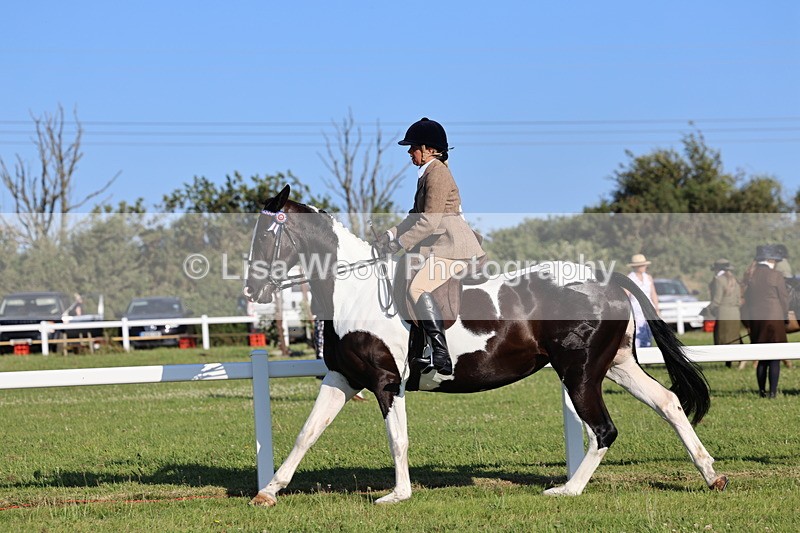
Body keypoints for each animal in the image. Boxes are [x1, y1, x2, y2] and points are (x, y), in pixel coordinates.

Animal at [243, 185, 728, 506]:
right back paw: (711, 475)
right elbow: (307, 433)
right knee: (668, 403)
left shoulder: (385, 381)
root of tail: (606, 279)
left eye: (266, 235)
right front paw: (269, 491)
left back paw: (567, 489)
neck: (354, 291)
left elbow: (397, 439)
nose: (252, 290)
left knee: (603, 430)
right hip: (616, 365)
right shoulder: (342, 377)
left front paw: (398, 495)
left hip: (580, 373)